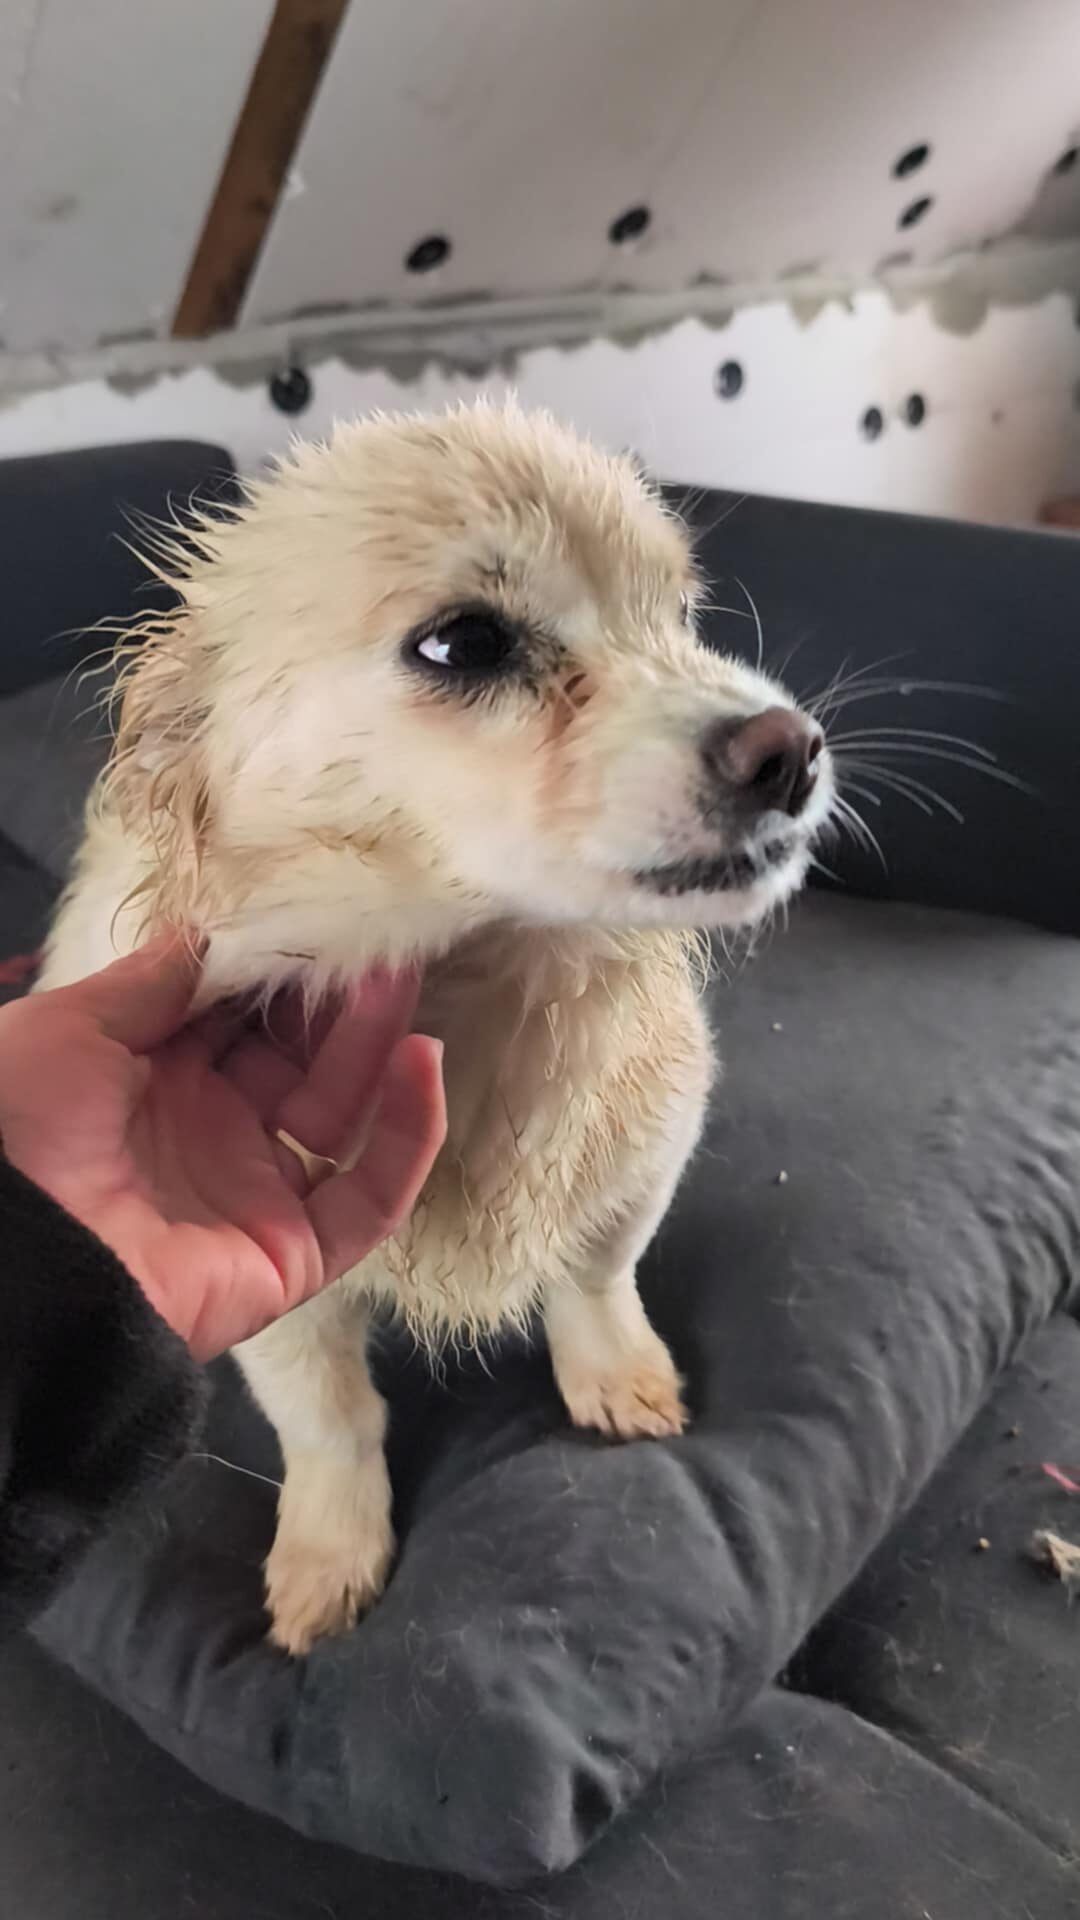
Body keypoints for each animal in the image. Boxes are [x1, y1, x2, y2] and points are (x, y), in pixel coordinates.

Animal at [42, 401, 834, 1654]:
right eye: (463, 645)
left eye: (682, 617)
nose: (791, 750)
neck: (483, 990)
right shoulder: (285, 1296)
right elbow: (327, 1416)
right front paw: (330, 1552)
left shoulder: (646, 1151)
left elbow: (599, 1272)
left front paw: (615, 1373)